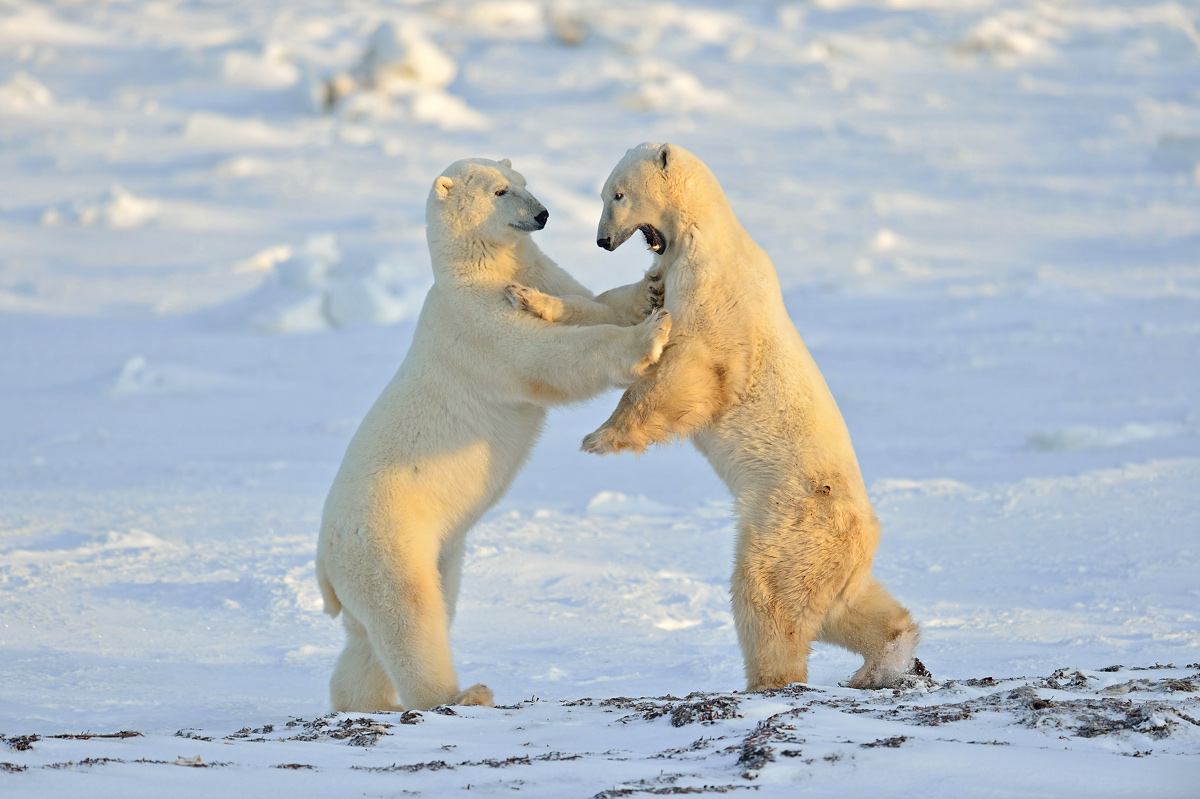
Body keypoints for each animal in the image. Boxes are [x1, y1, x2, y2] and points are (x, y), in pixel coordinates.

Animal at [316, 157, 676, 710]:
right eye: (500, 191)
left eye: (525, 182)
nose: (544, 214)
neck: (478, 269)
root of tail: (324, 559)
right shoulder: (480, 321)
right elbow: (550, 355)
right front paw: (650, 334)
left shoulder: (533, 269)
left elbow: (588, 301)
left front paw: (649, 288)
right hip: (386, 540)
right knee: (410, 615)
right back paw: (462, 694)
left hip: (434, 551)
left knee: (371, 638)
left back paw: (363, 701)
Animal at [513, 144, 916, 691]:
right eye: (604, 194)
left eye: (618, 194)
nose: (601, 240)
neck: (702, 238)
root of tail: (864, 532)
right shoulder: (669, 274)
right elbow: (621, 307)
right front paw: (528, 296)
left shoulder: (714, 298)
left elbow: (688, 369)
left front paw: (599, 438)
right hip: (828, 554)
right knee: (844, 608)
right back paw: (886, 657)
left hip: (790, 522)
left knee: (770, 595)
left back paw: (769, 680)